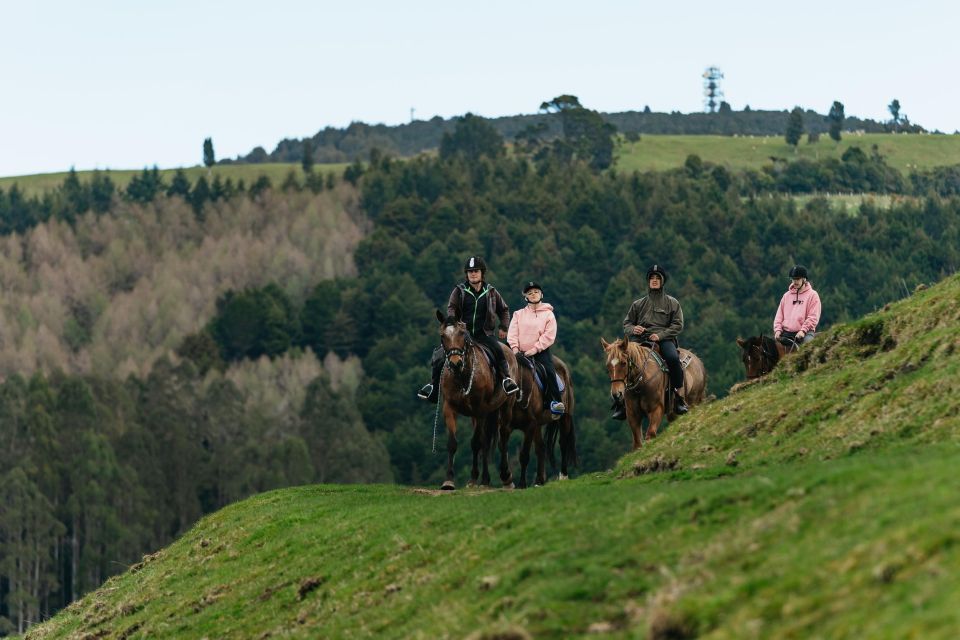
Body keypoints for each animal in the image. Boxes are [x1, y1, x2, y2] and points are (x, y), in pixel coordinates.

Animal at [438, 312, 520, 492]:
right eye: (442, 336)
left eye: (462, 333)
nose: (455, 363)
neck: (463, 375)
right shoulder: (449, 408)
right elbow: (452, 443)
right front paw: (449, 481)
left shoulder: (479, 409)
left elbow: (476, 443)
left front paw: (474, 477)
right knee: (486, 443)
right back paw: (484, 479)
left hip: (506, 407)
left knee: (502, 438)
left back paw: (506, 476)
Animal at [502, 358, 576, 488]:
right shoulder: (507, 427)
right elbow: (504, 451)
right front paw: (507, 480)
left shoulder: (530, 426)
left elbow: (524, 455)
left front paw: (522, 484)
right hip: (538, 425)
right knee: (541, 447)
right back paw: (539, 480)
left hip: (564, 418)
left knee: (563, 443)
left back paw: (563, 474)